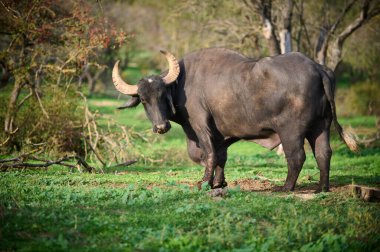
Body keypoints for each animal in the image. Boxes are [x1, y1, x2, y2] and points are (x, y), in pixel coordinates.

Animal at [112, 47, 356, 191]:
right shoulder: (222, 135)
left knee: (296, 157)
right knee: (324, 154)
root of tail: (317, 68)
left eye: (162, 95)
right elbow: (221, 156)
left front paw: (205, 182)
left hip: (291, 131)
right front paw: (219, 182)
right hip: (321, 126)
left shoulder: (200, 127)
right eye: (144, 100)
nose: (161, 126)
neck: (182, 85)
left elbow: (207, 154)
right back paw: (322, 188)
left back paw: (285, 187)